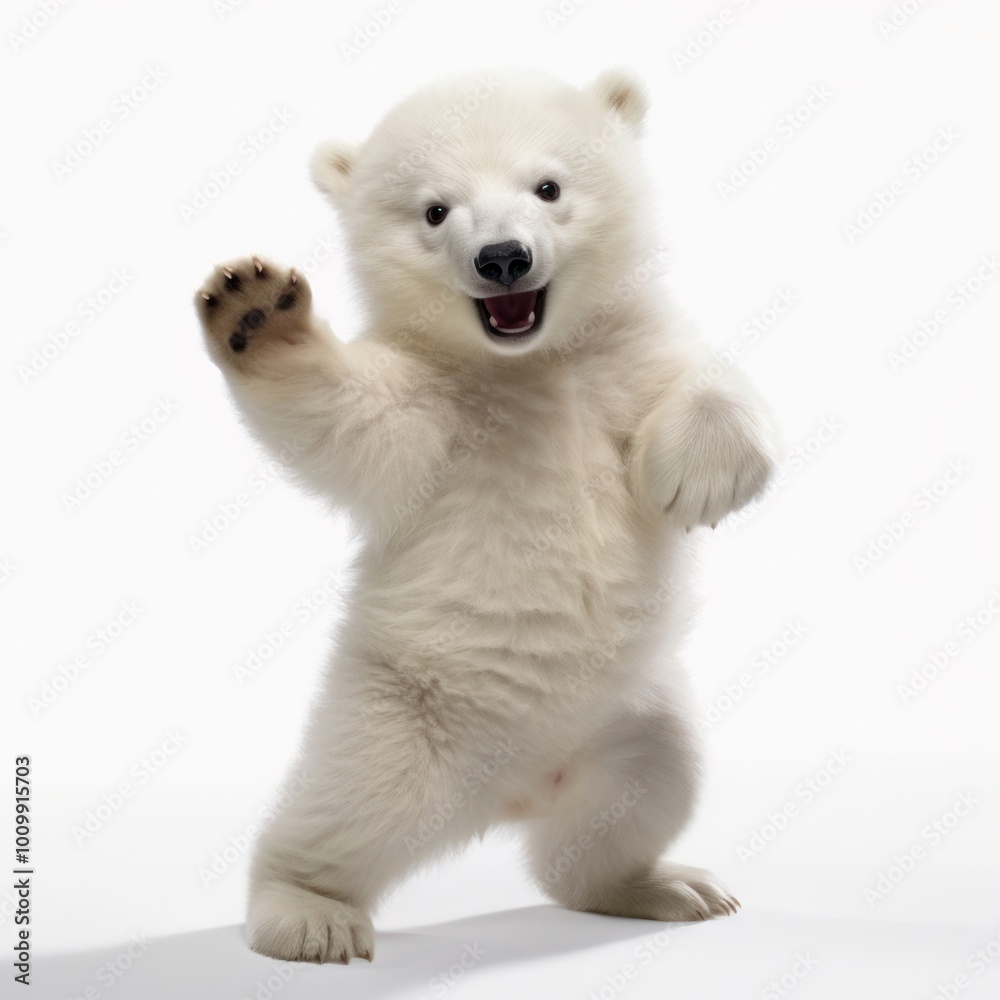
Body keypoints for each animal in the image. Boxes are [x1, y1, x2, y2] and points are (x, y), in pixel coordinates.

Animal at [195, 67, 777, 965]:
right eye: (436, 210)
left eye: (548, 186)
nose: (504, 258)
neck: (527, 363)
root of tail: (515, 791)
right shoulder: (438, 408)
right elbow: (346, 417)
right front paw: (257, 311)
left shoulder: (624, 356)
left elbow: (704, 377)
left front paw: (703, 479)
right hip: (394, 714)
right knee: (342, 810)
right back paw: (309, 915)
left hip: (637, 715)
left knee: (641, 798)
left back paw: (663, 885)